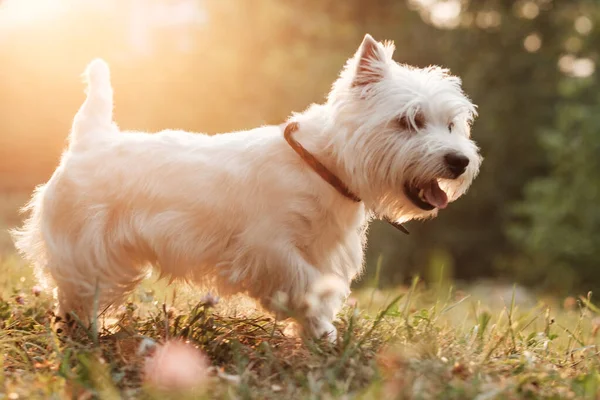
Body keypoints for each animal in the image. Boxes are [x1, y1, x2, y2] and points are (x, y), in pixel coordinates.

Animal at [12, 34, 482, 340]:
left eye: (451, 124)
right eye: (409, 120)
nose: (459, 162)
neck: (323, 166)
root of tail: (89, 140)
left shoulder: (320, 250)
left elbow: (316, 289)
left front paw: (319, 337)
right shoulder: (269, 248)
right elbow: (305, 287)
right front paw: (326, 334)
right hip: (85, 246)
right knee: (74, 294)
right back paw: (83, 336)